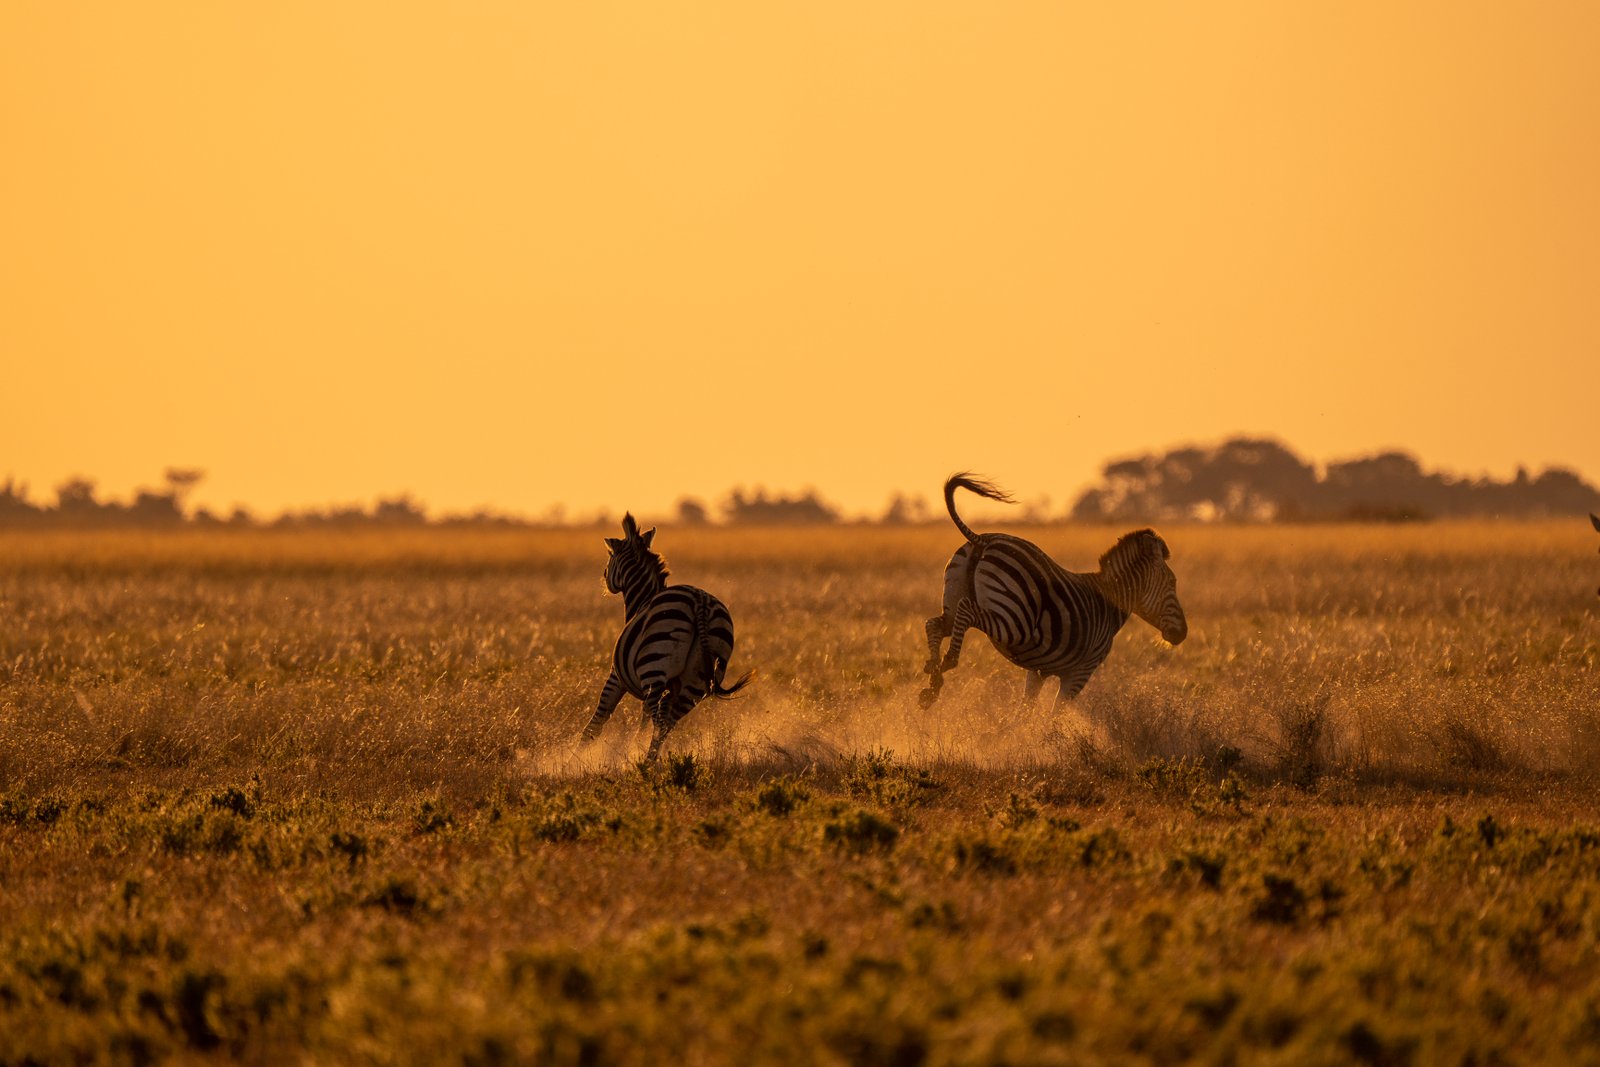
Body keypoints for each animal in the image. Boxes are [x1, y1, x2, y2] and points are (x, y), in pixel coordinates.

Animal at [581, 513, 751, 762]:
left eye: (611, 556)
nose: (604, 577)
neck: (642, 599)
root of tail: (700, 602)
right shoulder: (668, 689)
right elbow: (643, 723)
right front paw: (633, 745)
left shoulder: (616, 676)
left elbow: (597, 720)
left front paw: (573, 757)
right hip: (696, 682)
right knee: (666, 724)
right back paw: (649, 761)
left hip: (654, 666)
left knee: (660, 722)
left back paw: (646, 765)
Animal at [920, 473, 1188, 709]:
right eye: (1172, 583)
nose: (1183, 633)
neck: (1111, 601)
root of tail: (984, 540)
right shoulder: (1081, 671)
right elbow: (1056, 712)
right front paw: (1049, 735)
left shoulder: (1038, 671)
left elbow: (1026, 709)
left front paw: (1013, 734)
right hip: (1015, 623)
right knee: (967, 611)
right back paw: (947, 662)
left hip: (957, 597)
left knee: (936, 623)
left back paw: (933, 677)